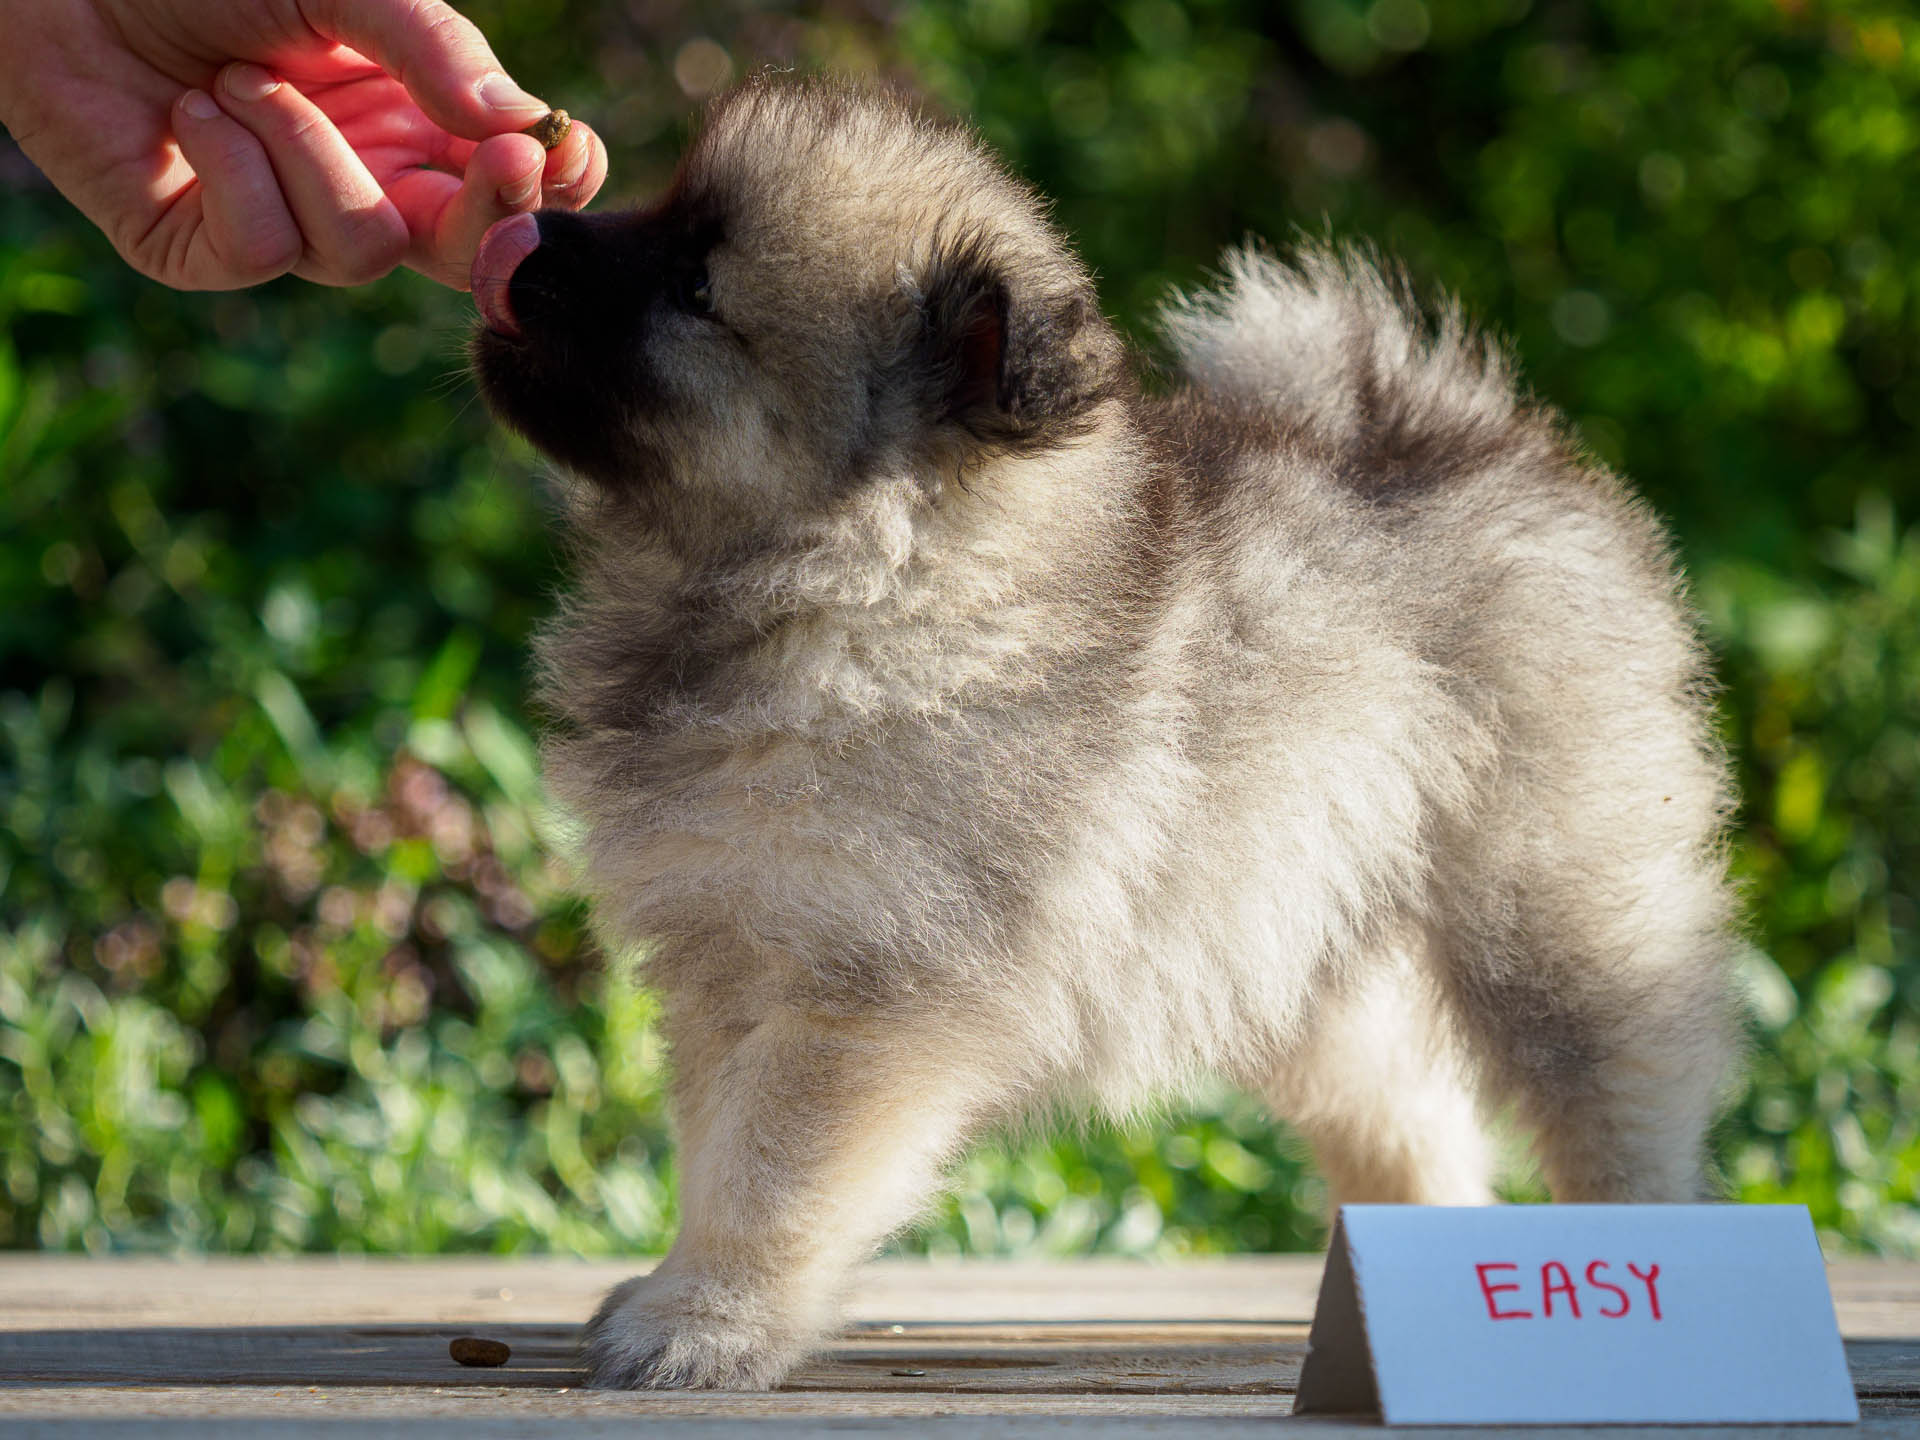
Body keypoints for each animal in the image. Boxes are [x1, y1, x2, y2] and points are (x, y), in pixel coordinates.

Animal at [468, 73, 1743, 1390]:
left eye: (698, 288)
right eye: (659, 211)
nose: (531, 235)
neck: (863, 582)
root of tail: (1480, 435)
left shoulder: (855, 986)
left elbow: (768, 1171)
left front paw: (706, 1322)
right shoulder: (728, 957)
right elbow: (717, 1144)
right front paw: (685, 1295)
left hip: (1556, 913)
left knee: (1621, 1102)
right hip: (1303, 943)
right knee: (1408, 1117)